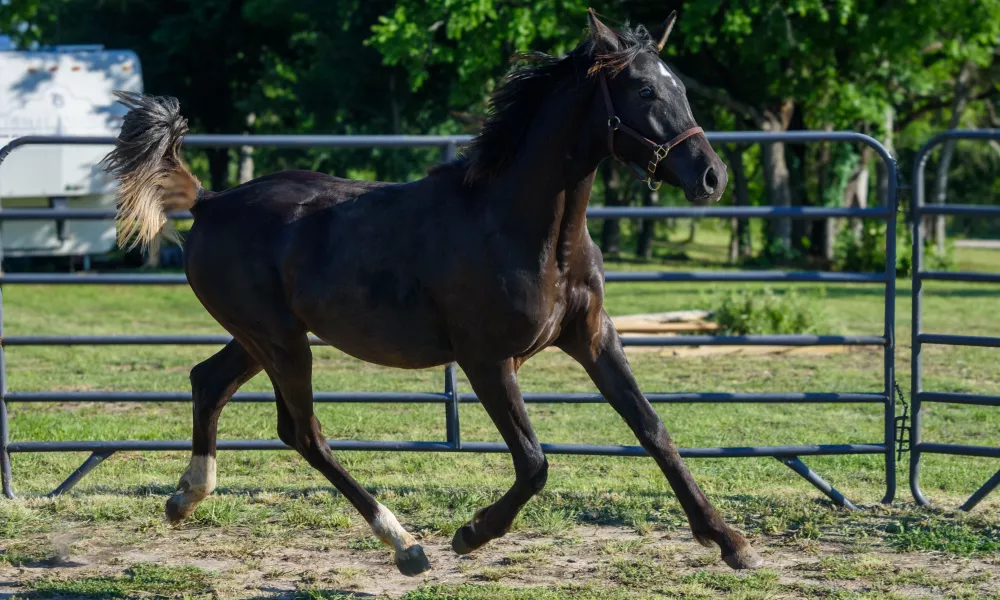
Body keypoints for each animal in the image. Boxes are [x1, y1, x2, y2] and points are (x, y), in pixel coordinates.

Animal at [103, 9, 756, 576]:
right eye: (644, 91)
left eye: (680, 88)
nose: (712, 176)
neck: (522, 229)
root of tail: (210, 203)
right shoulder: (487, 359)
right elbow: (534, 463)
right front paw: (470, 534)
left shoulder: (592, 337)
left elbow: (654, 431)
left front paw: (730, 542)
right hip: (281, 342)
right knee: (303, 432)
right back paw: (405, 545)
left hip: (262, 337)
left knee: (210, 382)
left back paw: (186, 497)